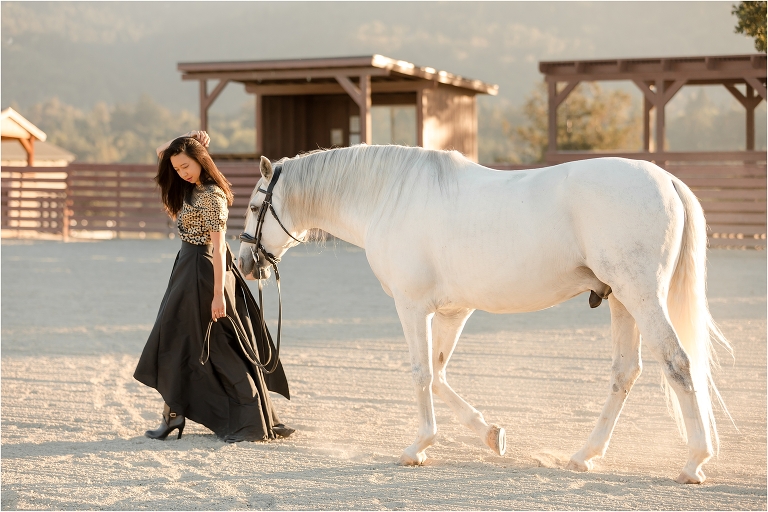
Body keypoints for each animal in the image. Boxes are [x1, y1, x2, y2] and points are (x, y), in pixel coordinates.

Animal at [237, 145, 732, 484]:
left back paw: (694, 462)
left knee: (678, 362)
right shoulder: (454, 311)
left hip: (640, 296)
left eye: (255, 206)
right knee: (625, 373)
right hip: (621, 302)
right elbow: (439, 375)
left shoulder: (412, 306)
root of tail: (666, 180)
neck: (389, 197)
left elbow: (421, 373)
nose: (243, 263)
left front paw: (418, 446)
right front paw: (492, 434)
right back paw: (585, 455)